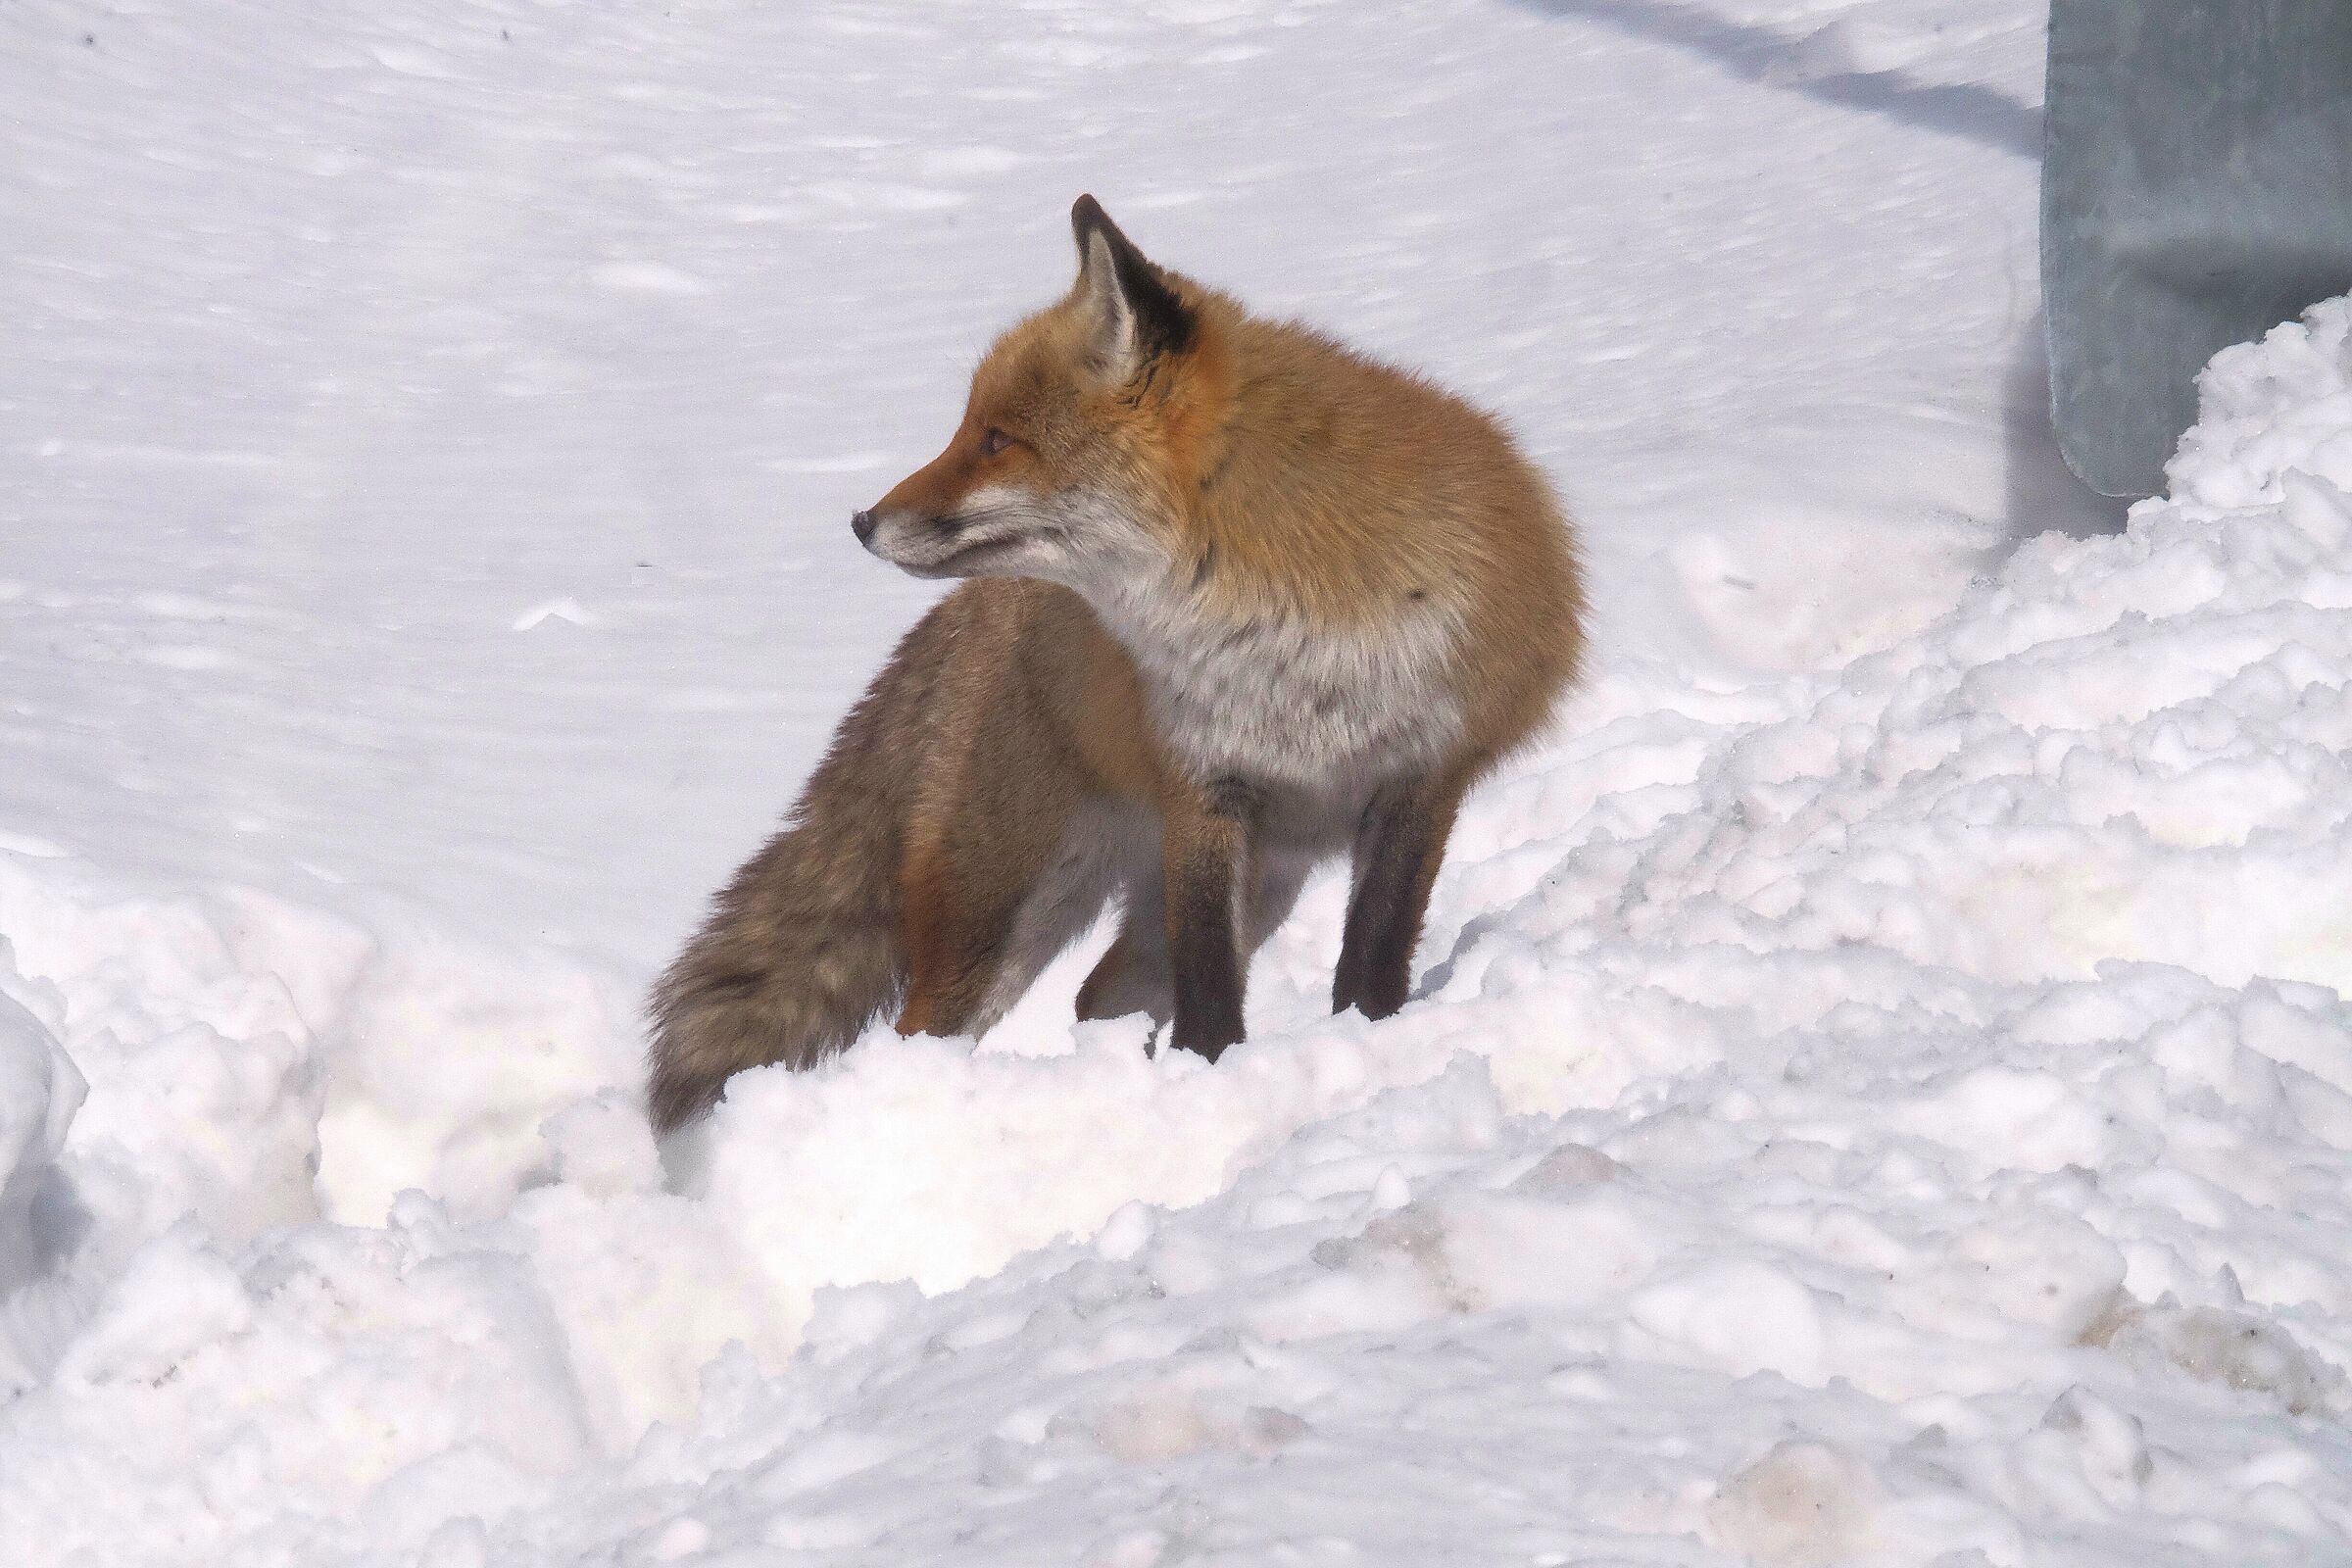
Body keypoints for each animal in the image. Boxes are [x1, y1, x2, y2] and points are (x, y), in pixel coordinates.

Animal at [646, 195, 1583, 1133]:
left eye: (997, 440)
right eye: (970, 430)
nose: (860, 521)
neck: (1290, 634)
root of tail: (957, 621)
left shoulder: (1423, 776)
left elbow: (1370, 963)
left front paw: (1360, 1043)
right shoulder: (1204, 789)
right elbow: (1210, 991)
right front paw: (1214, 1082)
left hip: (1251, 883)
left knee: (1100, 995)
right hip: (1000, 914)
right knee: (941, 1028)